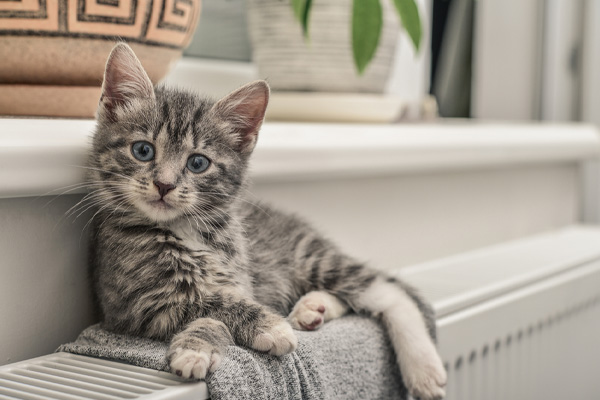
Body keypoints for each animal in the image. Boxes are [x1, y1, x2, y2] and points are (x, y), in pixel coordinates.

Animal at [89, 42, 446, 398]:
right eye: (143, 150)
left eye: (198, 163)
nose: (164, 185)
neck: (188, 230)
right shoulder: (135, 306)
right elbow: (210, 305)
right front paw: (214, 343)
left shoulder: (240, 279)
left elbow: (221, 302)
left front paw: (222, 338)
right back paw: (313, 309)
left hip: (310, 257)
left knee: (388, 291)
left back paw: (423, 367)